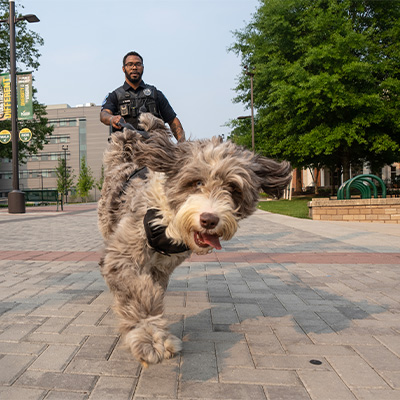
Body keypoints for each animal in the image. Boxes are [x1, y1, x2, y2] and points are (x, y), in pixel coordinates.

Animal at [97, 112, 290, 366]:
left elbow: (151, 290)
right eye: (196, 182)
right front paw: (150, 338)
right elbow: (137, 294)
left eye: (233, 188)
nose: (209, 219)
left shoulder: (161, 268)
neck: (169, 221)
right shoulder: (124, 254)